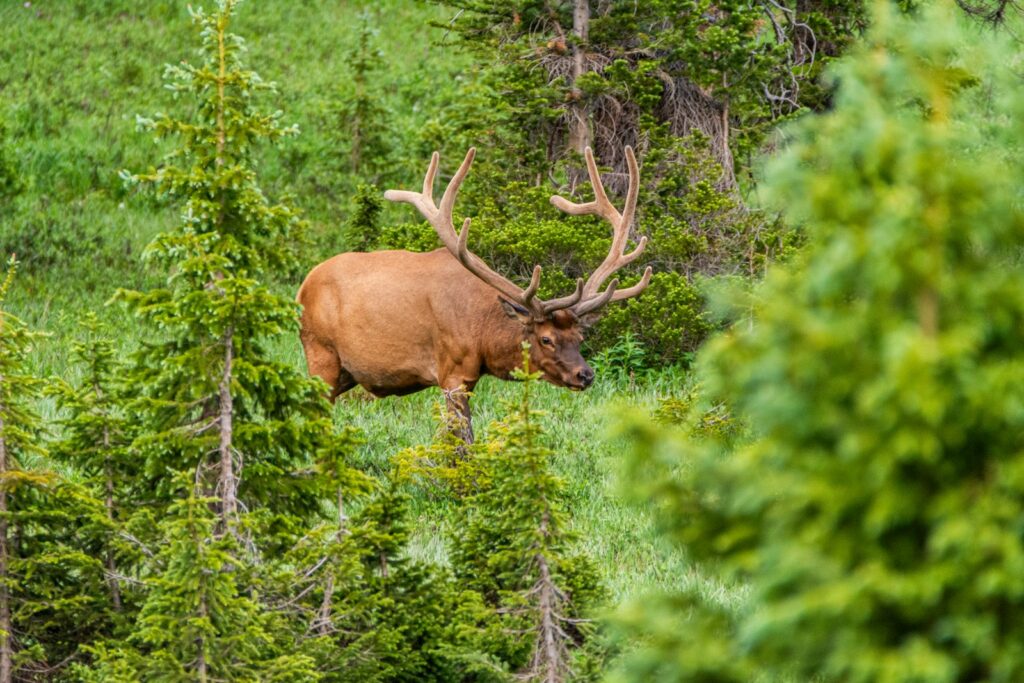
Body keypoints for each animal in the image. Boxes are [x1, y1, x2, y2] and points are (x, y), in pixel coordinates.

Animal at [297, 146, 651, 443]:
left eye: (580, 337)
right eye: (546, 338)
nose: (585, 374)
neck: (482, 332)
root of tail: (302, 287)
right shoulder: (452, 372)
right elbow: (462, 442)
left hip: (347, 371)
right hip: (321, 352)